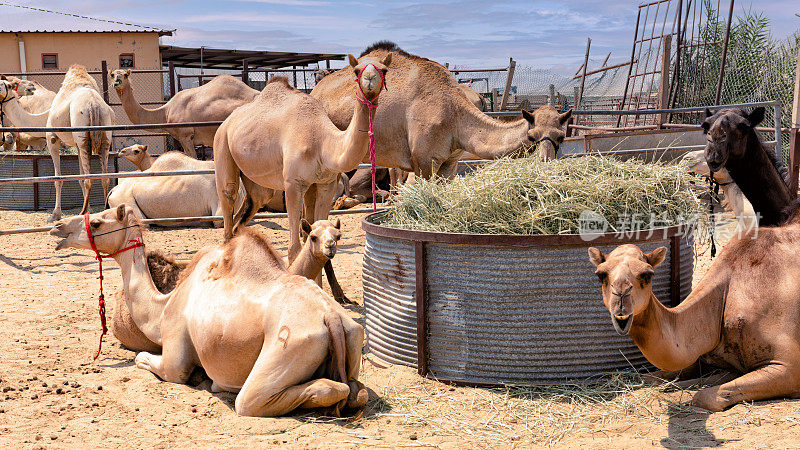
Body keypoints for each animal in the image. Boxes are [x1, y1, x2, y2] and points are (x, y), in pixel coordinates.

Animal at [51, 206, 370, 416]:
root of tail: (330, 317)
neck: (162, 307)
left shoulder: (175, 355)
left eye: (97, 223)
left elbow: (147, 359)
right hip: (354, 334)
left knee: (257, 399)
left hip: (289, 348)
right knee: (358, 390)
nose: (58, 228)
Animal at [109, 67, 258, 157]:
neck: (165, 112)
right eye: (112, 74)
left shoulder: (186, 135)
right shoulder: (181, 138)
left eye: (126, 74)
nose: (117, 81)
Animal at [308, 40, 568, 178]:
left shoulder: (450, 163)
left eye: (561, 136)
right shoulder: (424, 161)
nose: (546, 160)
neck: (454, 114)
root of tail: (315, 91)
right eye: (532, 136)